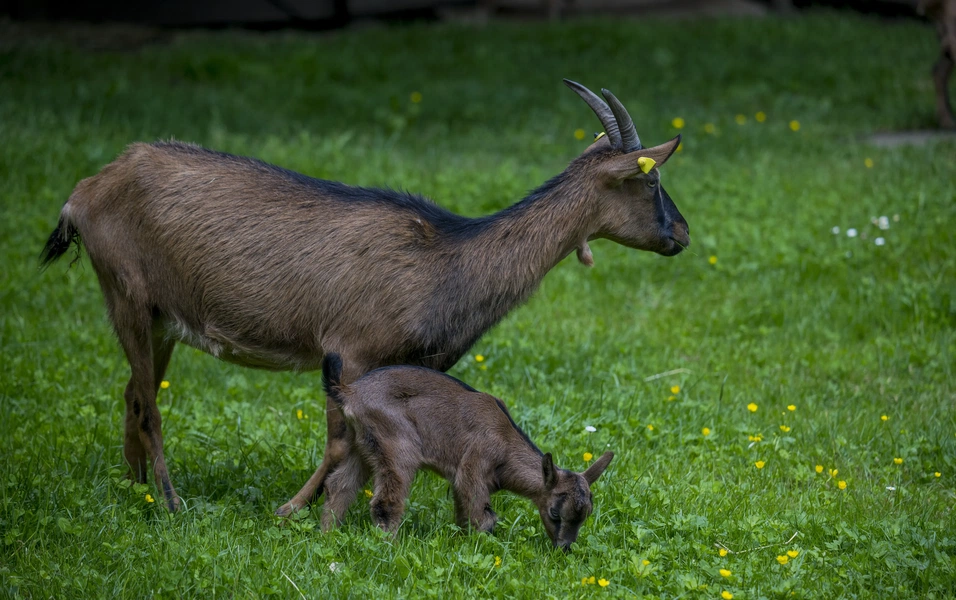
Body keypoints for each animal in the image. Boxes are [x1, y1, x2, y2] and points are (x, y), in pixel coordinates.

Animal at [40, 80, 687, 513]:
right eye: (651, 179)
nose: (680, 234)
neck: (449, 263)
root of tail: (84, 193)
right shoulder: (348, 348)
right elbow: (338, 442)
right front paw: (292, 510)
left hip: (160, 318)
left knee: (133, 394)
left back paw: (137, 489)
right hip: (125, 289)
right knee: (149, 405)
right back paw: (172, 503)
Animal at [317, 353, 613, 550]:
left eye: (586, 515)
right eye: (554, 513)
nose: (565, 548)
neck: (505, 441)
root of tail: (348, 391)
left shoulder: (462, 480)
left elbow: (463, 514)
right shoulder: (474, 466)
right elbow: (484, 518)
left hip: (361, 445)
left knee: (338, 485)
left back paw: (328, 536)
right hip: (397, 446)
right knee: (385, 503)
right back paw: (390, 547)